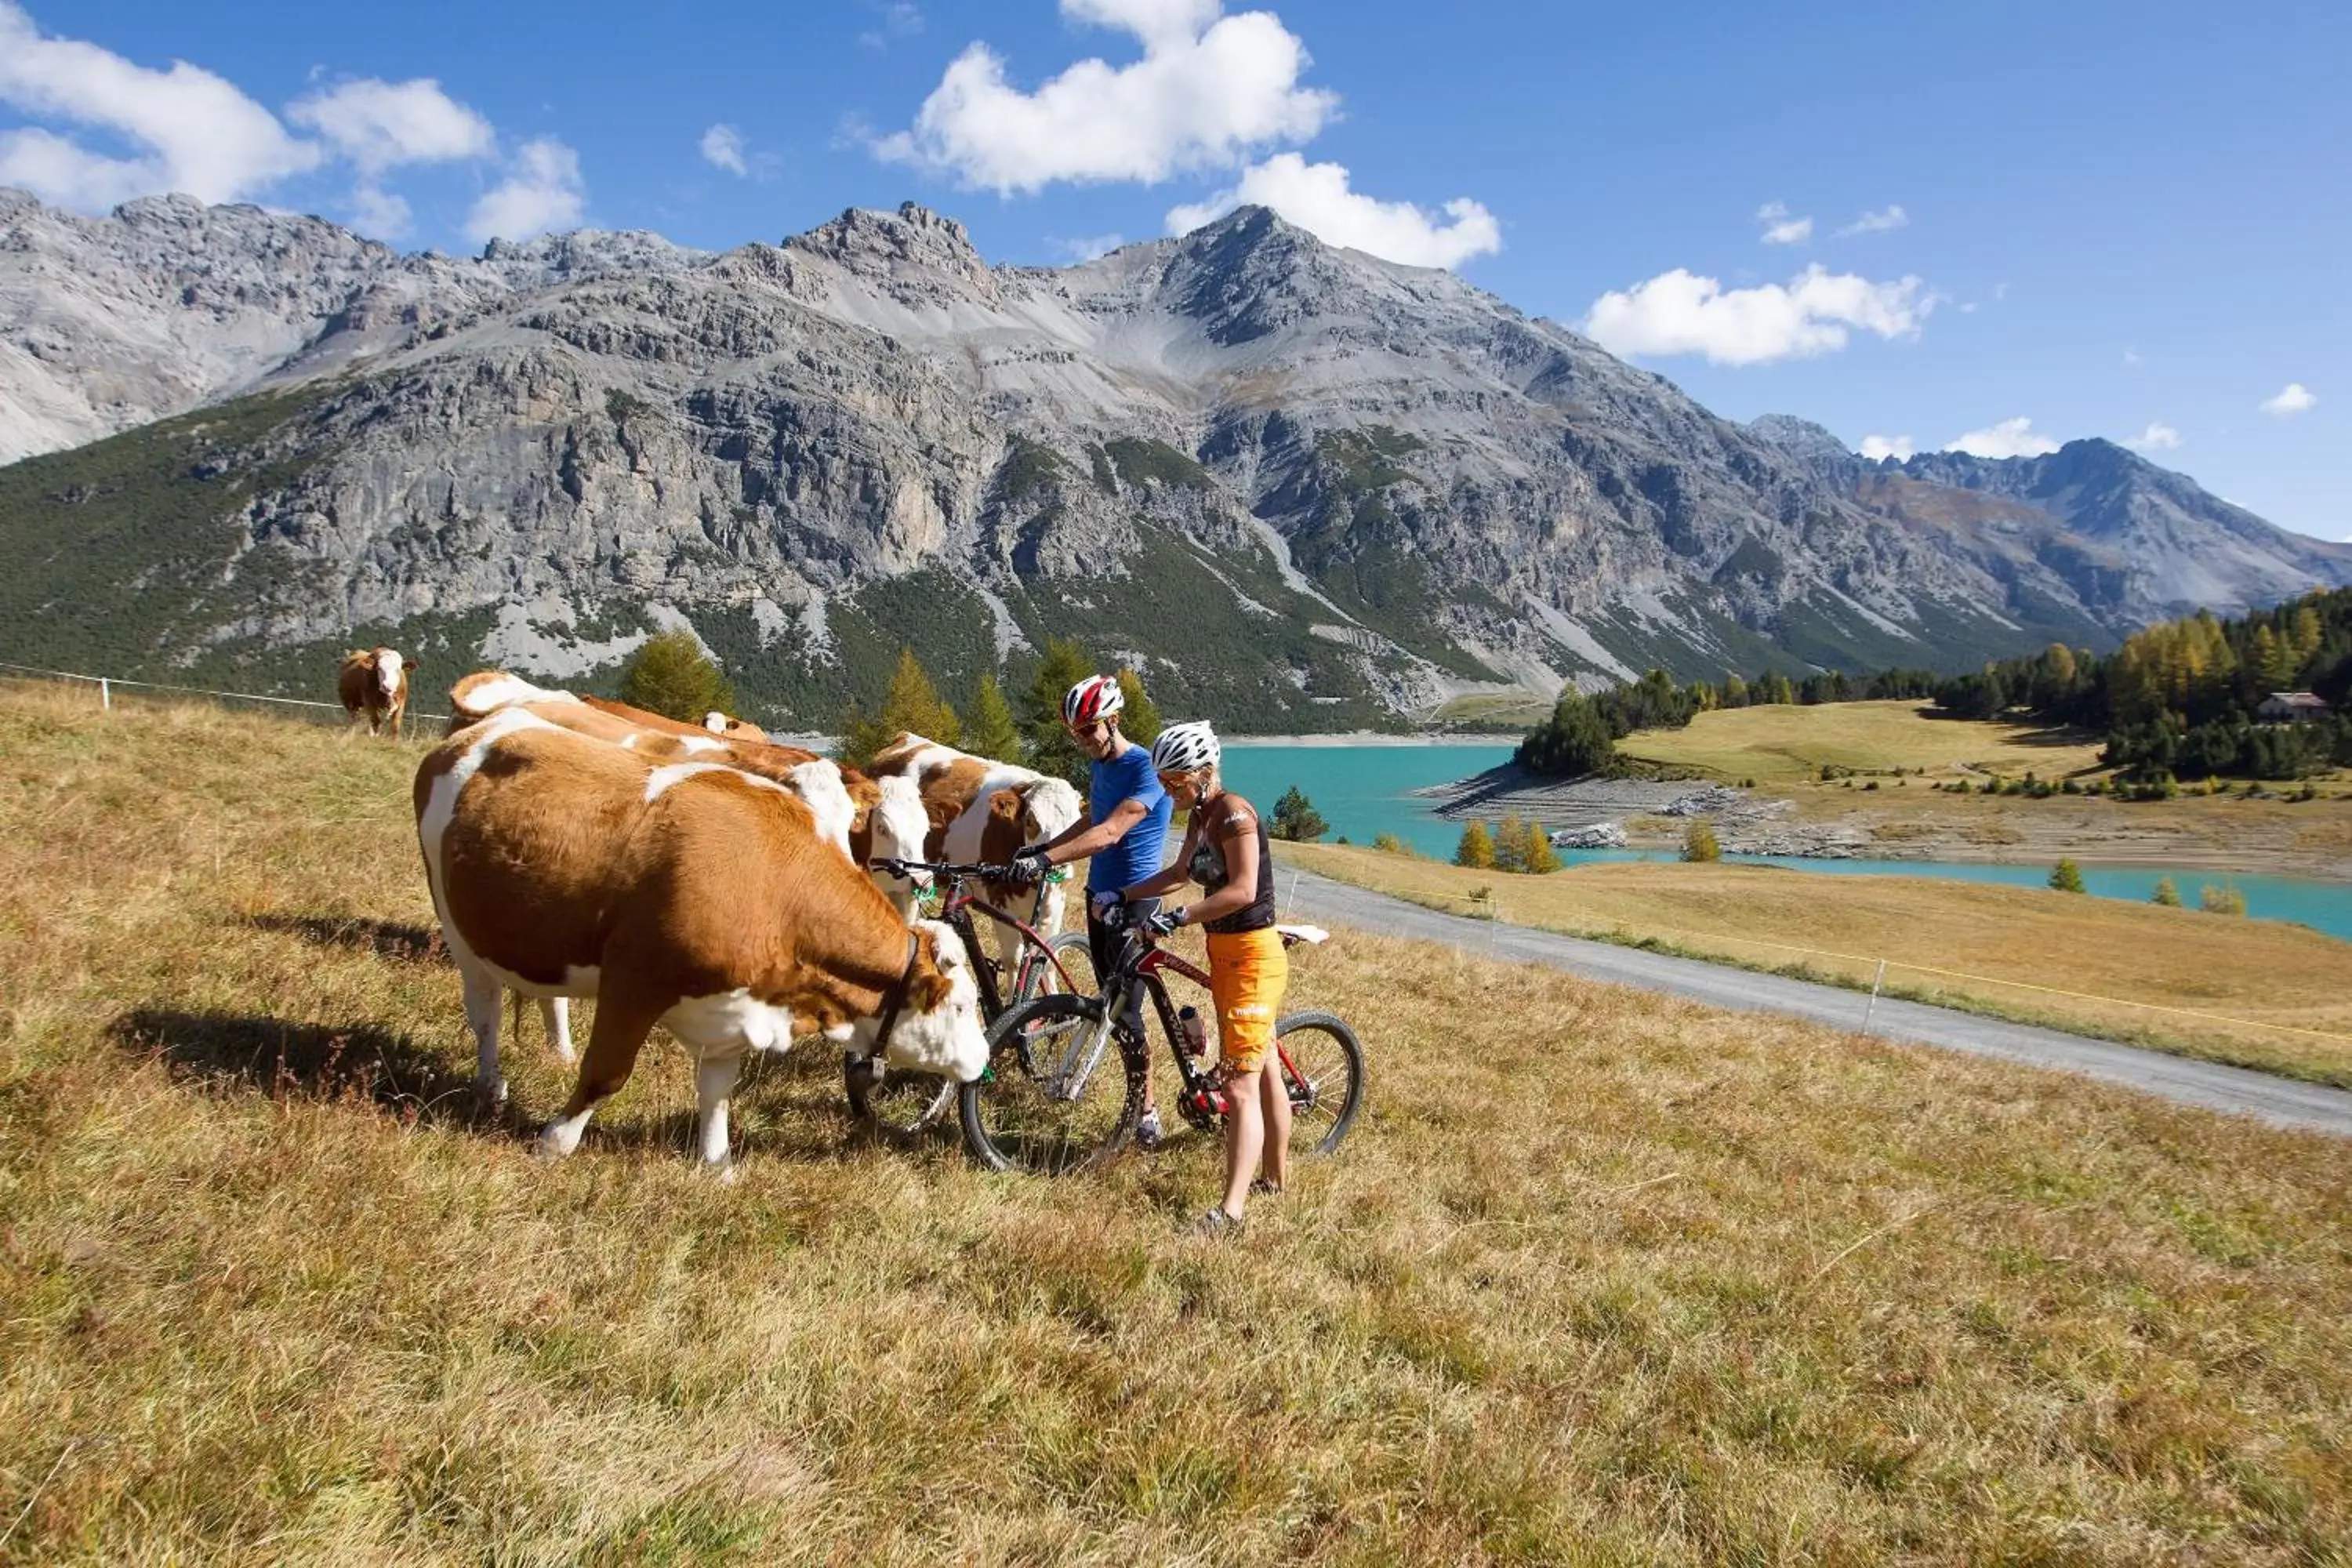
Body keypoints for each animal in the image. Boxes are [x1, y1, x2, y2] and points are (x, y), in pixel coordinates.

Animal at [414, 710, 983, 1166]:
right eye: (959, 1007)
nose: (981, 1061)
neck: (772, 884)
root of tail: (482, 728)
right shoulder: (633, 981)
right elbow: (607, 1074)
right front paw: (553, 1145)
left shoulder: (735, 1008)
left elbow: (716, 1091)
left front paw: (717, 1163)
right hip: (456, 924)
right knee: (484, 1010)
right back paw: (492, 1087)